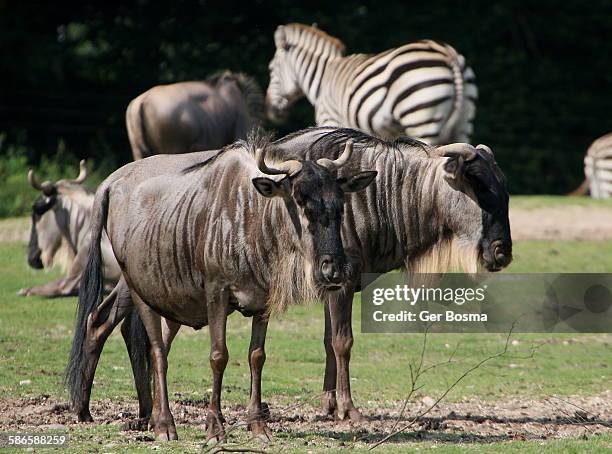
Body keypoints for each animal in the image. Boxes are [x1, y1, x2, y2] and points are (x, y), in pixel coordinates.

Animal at [266, 23, 478, 145]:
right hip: (463, 123)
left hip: (421, 118)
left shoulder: (330, 120)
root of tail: (447, 54)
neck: (323, 76)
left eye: (270, 69)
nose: (271, 110)